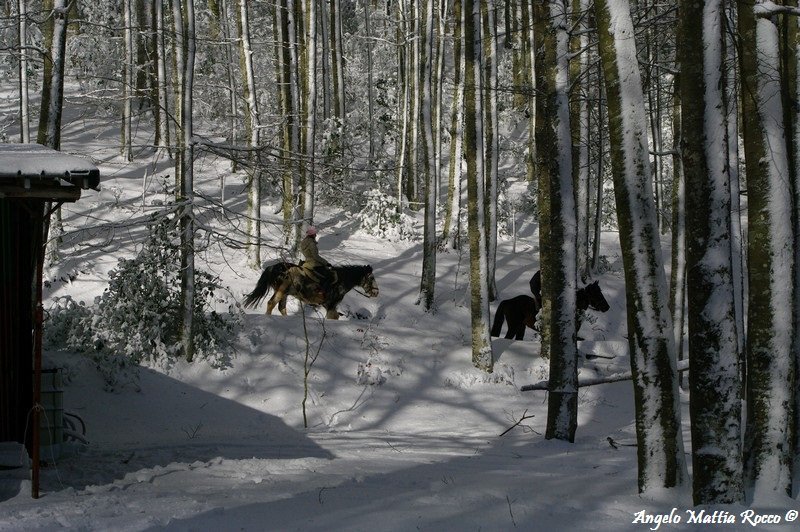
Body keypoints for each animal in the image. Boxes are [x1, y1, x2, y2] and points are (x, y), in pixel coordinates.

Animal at [243, 262, 379, 319]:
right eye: (372, 278)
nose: (376, 292)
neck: (340, 281)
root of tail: (274, 267)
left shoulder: (329, 306)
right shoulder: (331, 305)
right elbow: (333, 317)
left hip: (285, 293)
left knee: (281, 308)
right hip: (281, 291)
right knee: (271, 303)